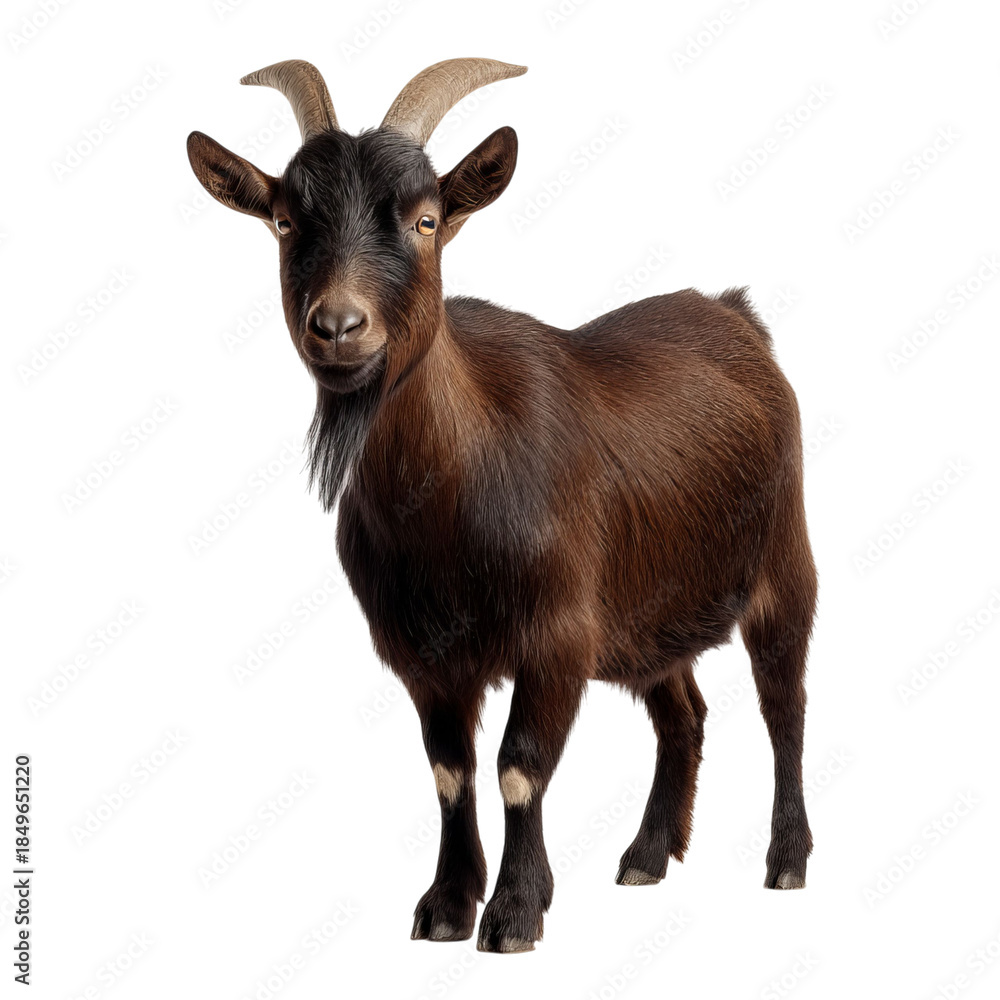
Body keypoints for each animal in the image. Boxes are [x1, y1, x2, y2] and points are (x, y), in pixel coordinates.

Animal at [187, 57, 817, 953]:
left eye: (425, 219)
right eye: (282, 221)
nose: (338, 326)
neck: (445, 500)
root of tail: (736, 314)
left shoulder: (557, 633)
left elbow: (520, 765)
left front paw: (516, 911)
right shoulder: (425, 653)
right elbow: (451, 773)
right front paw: (448, 905)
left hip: (784, 563)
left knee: (783, 703)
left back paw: (787, 859)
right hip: (647, 614)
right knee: (683, 714)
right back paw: (646, 856)